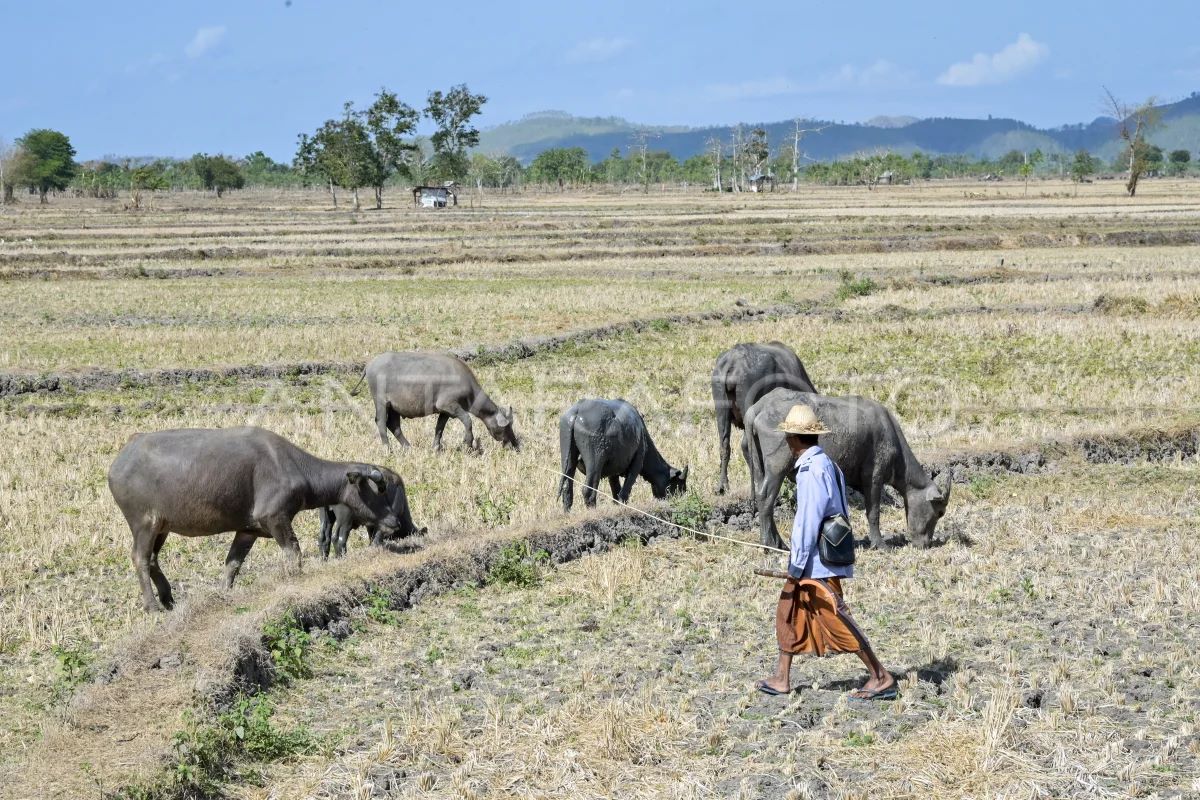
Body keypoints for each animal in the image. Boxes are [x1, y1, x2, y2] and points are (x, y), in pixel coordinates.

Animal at [108, 429, 417, 609]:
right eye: (378, 490)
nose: (394, 522)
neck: (293, 467)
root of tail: (117, 464)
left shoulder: (248, 530)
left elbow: (232, 564)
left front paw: (225, 593)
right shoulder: (275, 519)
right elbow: (294, 553)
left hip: (162, 527)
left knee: (152, 559)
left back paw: (169, 599)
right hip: (144, 523)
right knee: (139, 558)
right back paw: (152, 606)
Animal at [357, 352, 523, 453]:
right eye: (506, 427)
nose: (514, 444)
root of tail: (369, 365)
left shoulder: (445, 412)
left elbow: (439, 429)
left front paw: (436, 447)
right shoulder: (450, 406)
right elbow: (468, 421)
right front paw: (468, 443)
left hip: (394, 407)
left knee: (394, 425)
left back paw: (408, 447)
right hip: (381, 402)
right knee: (381, 422)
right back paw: (388, 449)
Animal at [556, 400, 691, 513]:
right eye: (678, 486)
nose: (679, 500)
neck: (642, 433)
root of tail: (577, 411)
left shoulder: (613, 472)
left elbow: (616, 490)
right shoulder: (637, 463)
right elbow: (624, 491)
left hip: (568, 458)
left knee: (567, 487)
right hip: (595, 461)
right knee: (588, 490)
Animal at [744, 391, 950, 554]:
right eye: (939, 512)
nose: (925, 544)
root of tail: (758, 408)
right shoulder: (874, 479)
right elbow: (873, 513)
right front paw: (879, 544)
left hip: (758, 466)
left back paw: (779, 543)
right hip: (777, 468)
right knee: (766, 498)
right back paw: (769, 545)